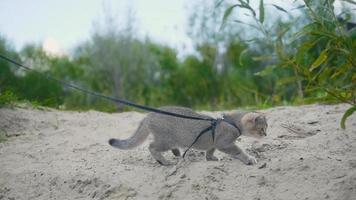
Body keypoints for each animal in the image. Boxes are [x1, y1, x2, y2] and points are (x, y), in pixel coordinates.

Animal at [108, 106, 268, 166]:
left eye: (266, 128)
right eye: (262, 129)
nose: (266, 134)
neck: (231, 121)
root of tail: (148, 115)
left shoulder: (214, 143)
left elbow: (210, 150)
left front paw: (211, 158)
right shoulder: (224, 142)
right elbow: (238, 151)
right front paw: (249, 159)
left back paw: (177, 153)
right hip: (166, 140)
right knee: (151, 147)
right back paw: (164, 161)